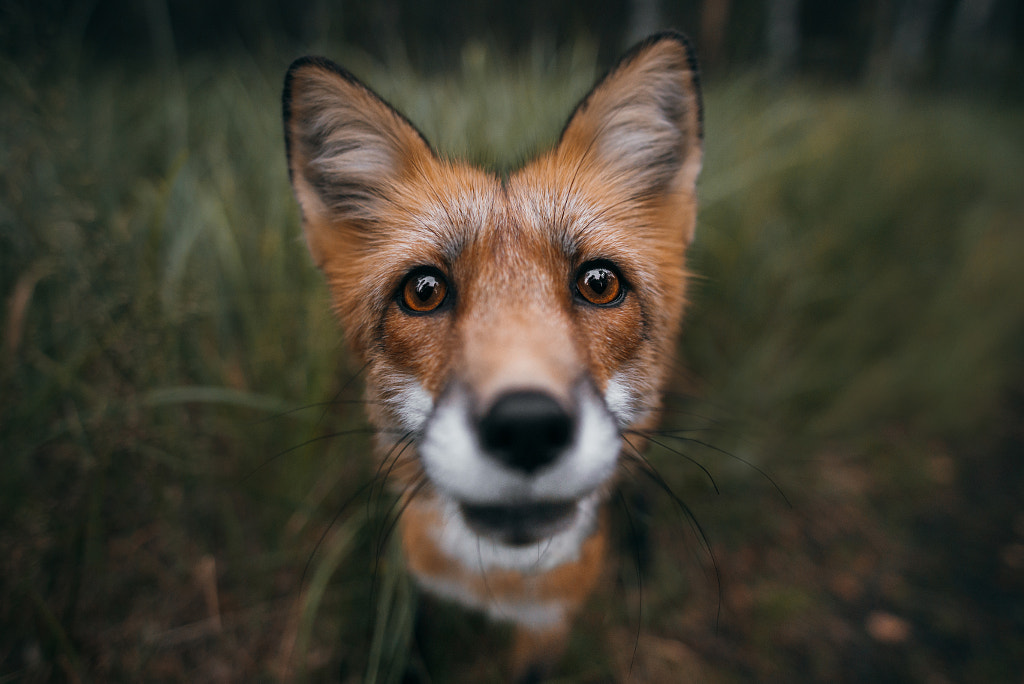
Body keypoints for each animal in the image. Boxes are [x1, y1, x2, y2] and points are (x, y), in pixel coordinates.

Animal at [284, 30, 704, 679]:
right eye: (423, 291)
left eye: (599, 283)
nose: (527, 427)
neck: (496, 583)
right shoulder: (417, 587)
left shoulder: (548, 623)